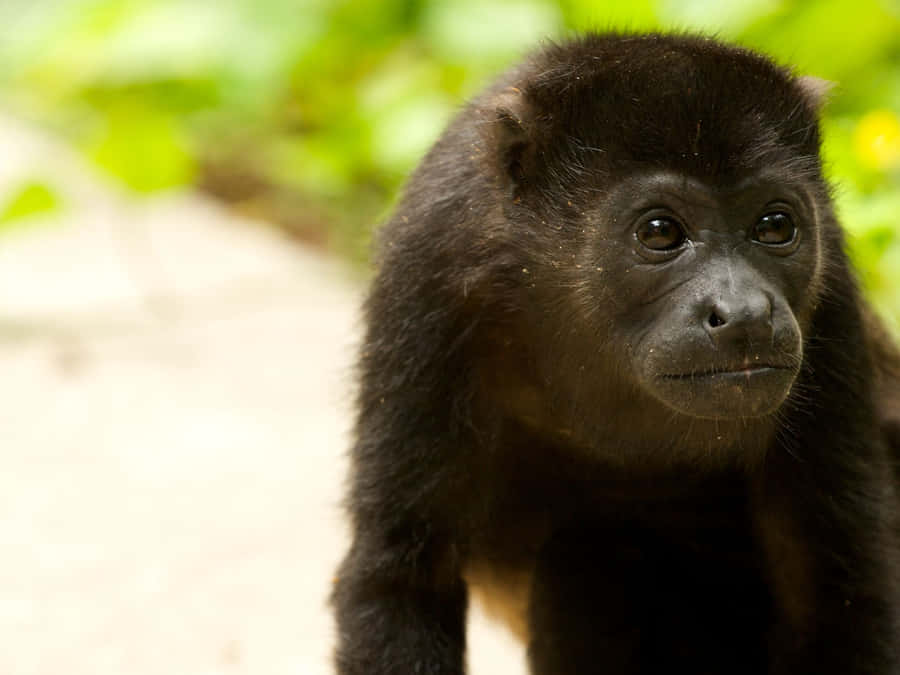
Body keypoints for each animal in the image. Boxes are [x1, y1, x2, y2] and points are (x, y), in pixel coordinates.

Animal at [331, 32, 900, 674]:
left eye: (775, 225)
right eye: (659, 232)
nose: (747, 313)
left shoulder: (833, 294)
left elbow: (839, 592)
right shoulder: (428, 270)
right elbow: (402, 577)